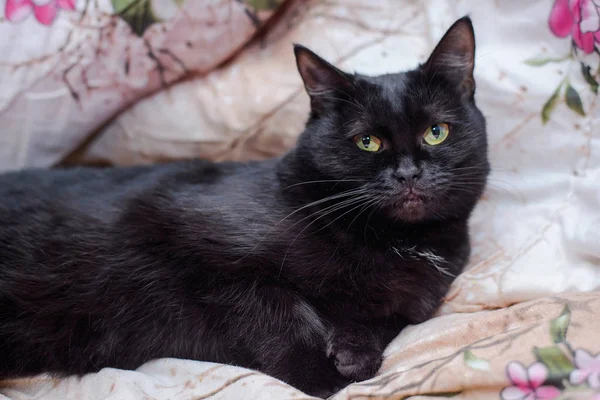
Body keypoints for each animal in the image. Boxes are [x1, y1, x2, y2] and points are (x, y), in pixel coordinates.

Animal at [0, 18, 488, 400]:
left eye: (436, 132)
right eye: (367, 141)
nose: (408, 174)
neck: (396, 242)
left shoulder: (410, 304)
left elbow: (385, 319)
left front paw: (355, 351)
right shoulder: (201, 258)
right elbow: (276, 315)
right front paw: (325, 375)